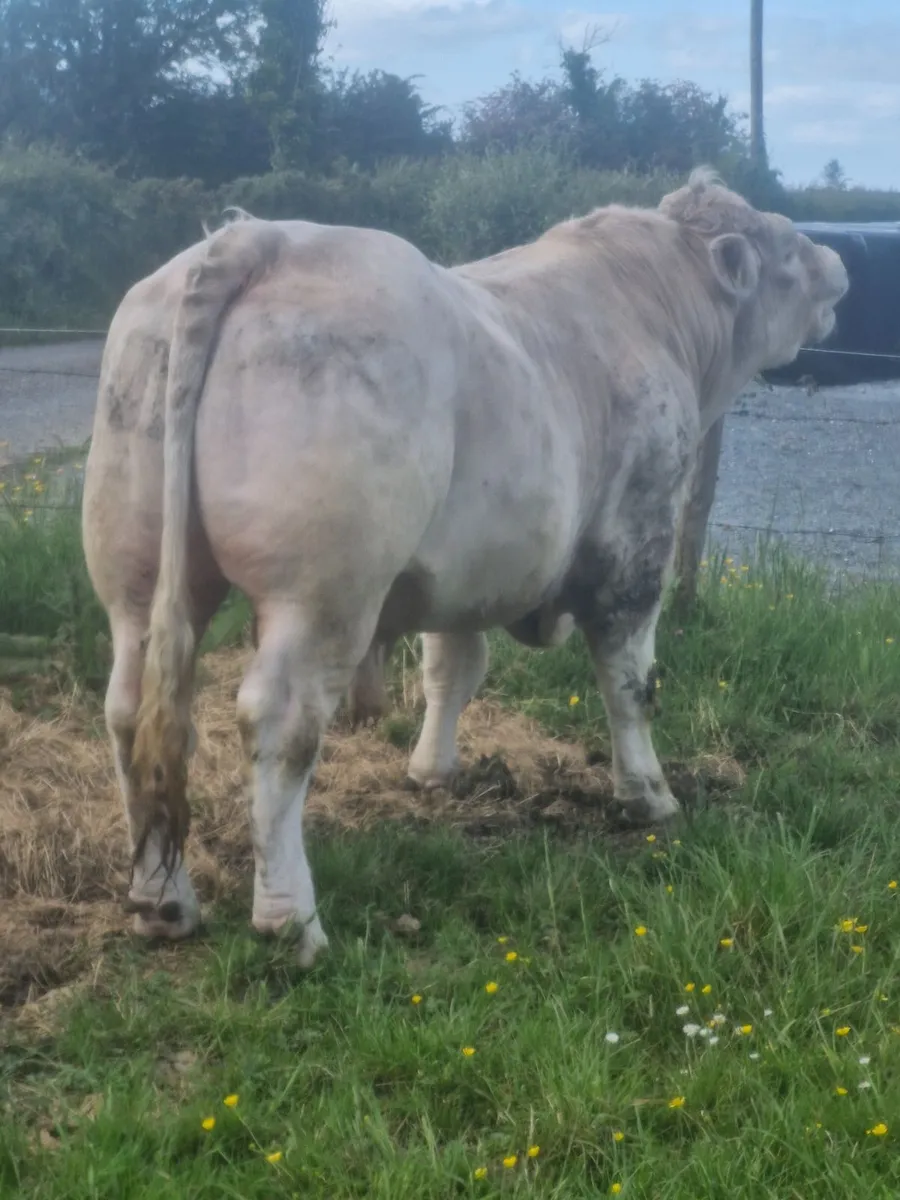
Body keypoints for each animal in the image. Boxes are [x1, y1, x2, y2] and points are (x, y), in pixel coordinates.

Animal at [82, 168, 848, 965]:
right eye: (785, 249)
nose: (836, 265)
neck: (653, 309)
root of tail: (256, 237)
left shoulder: (463, 572)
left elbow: (451, 669)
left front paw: (432, 771)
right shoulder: (636, 539)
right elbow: (630, 682)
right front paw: (648, 795)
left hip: (136, 579)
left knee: (132, 711)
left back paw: (162, 902)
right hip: (322, 594)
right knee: (280, 723)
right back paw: (291, 921)